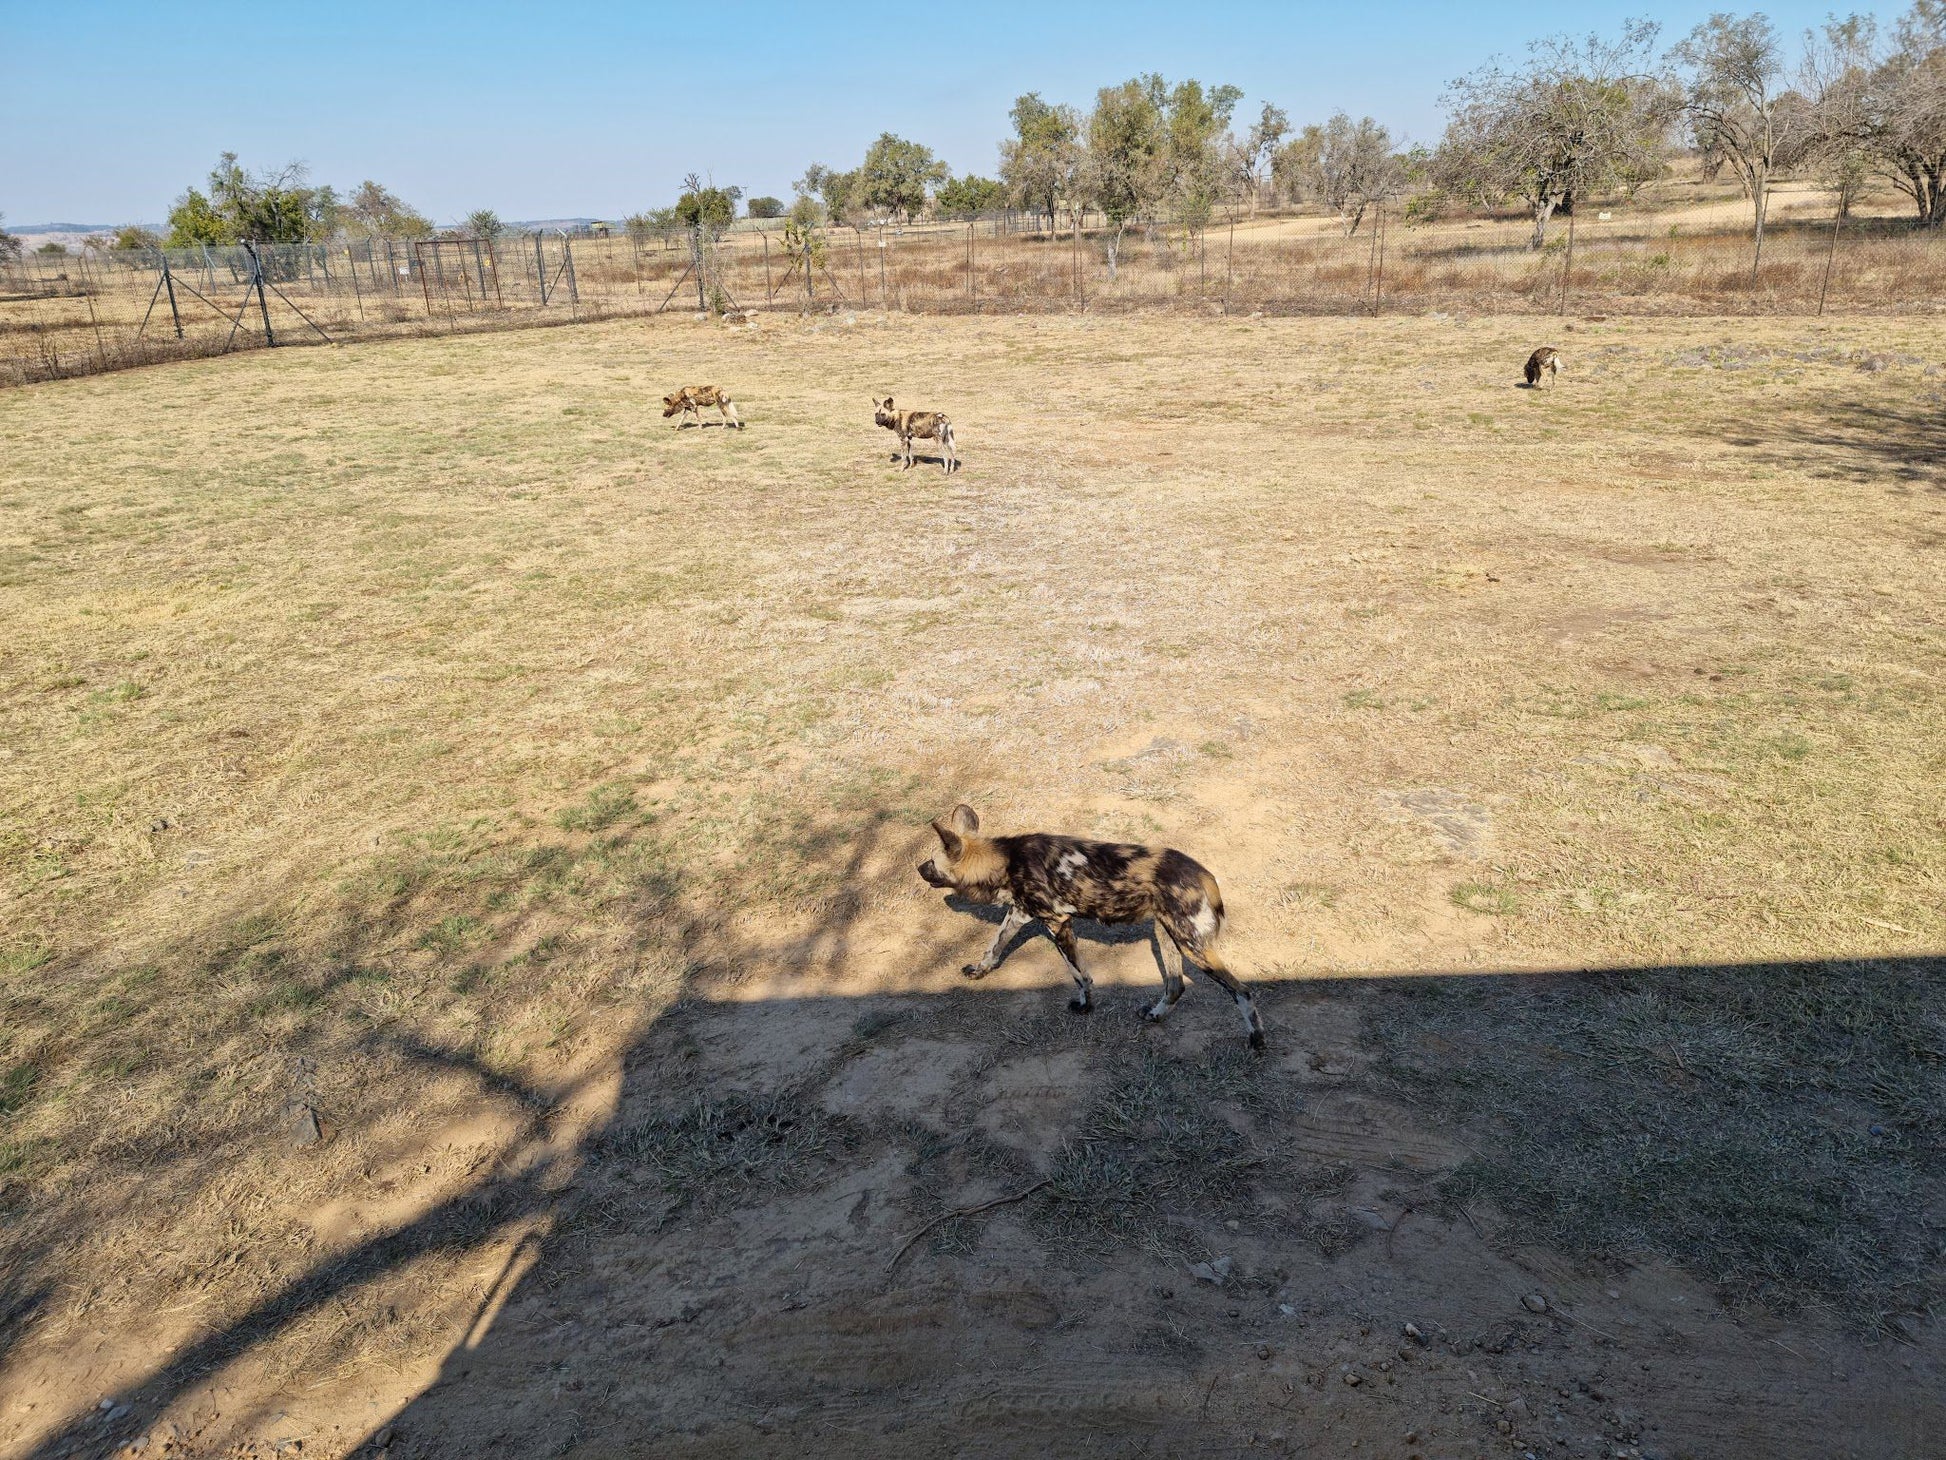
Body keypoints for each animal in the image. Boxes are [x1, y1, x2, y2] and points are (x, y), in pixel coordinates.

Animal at [918, 802, 1268, 1051]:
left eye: (932, 862)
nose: (918, 867)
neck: (1005, 862)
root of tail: (1204, 874)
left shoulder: (1057, 923)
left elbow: (1080, 976)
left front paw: (1085, 1006)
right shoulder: (1019, 913)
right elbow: (994, 946)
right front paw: (979, 970)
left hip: (1191, 945)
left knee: (1242, 991)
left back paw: (1257, 1040)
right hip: (1166, 934)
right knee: (1175, 985)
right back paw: (1154, 1016)